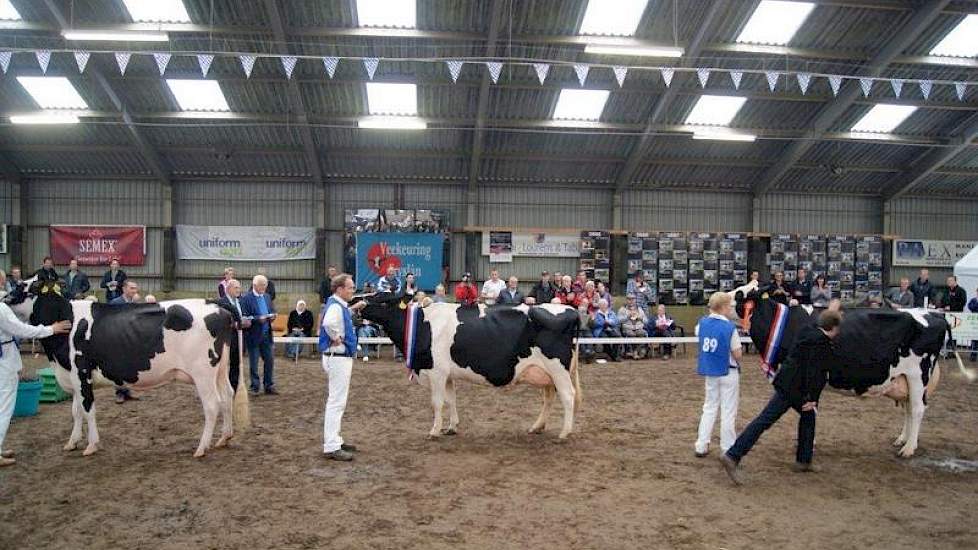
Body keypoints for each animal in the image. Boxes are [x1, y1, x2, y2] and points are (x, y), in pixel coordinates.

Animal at [11, 282, 248, 460]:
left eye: (27, 289)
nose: (6, 297)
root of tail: (216, 305)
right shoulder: (74, 377)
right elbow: (76, 411)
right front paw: (72, 442)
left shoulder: (81, 372)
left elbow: (88, 410)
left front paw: (91, 445)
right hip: (220, 369)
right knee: (228, 395)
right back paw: (224, 438)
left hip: (203, 373)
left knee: (212, 405)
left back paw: (201, 448)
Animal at [362, 296, 584, 442]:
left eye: (382, 299)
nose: (359, 303)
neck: (423, 325)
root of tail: (571, 310)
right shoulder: (448, 375)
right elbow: (451, 400)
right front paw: (451, 427)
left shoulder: (437, 372)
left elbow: (437, 403)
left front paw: (434, 430)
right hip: (546, 374)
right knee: (549, 398)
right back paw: (537, 427)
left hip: (558, 369)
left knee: (568, 396)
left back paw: (564, 433)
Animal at [740, 294, 960, 462]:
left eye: (739, 294)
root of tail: (935, 315)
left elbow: (809, 408)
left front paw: (810, 443)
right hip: (903, 379)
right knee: (909, 408)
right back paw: (902, 439)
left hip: (918, 376)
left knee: (917, 409)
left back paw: (908, 449)